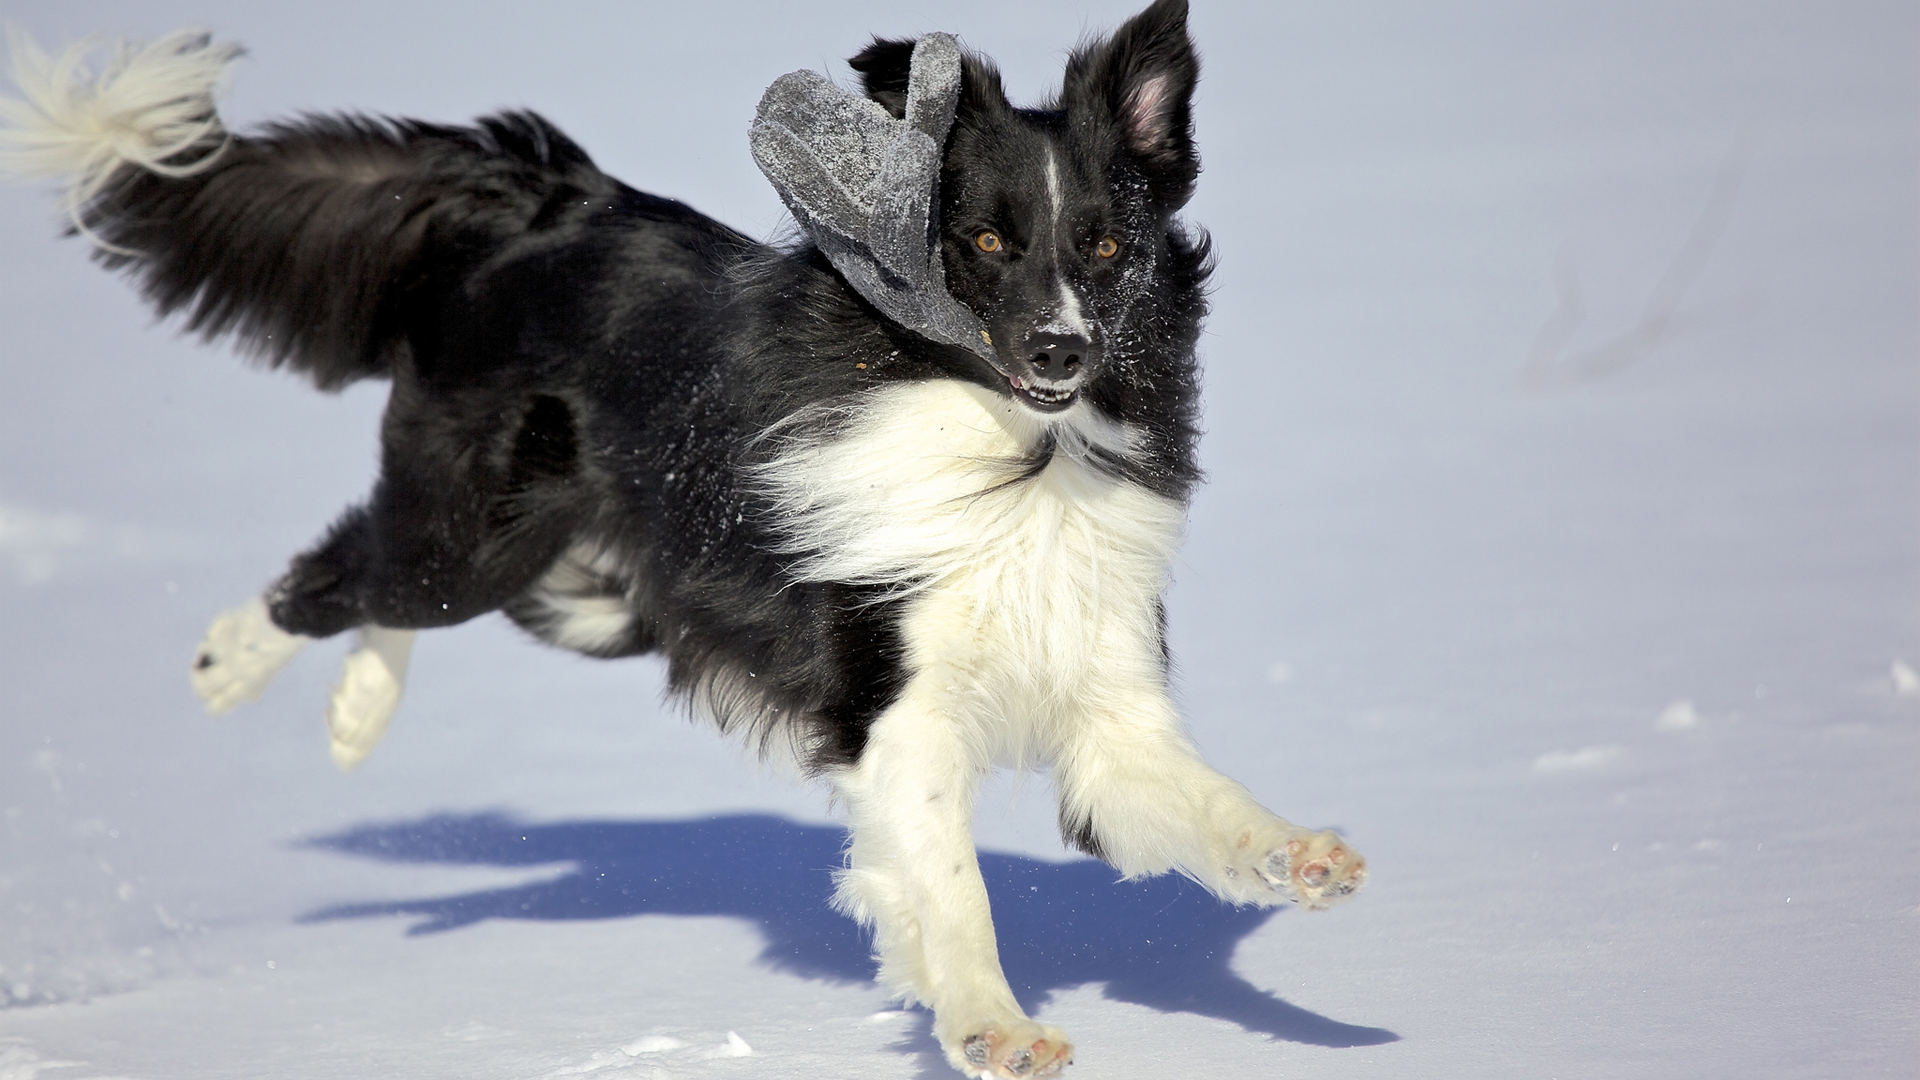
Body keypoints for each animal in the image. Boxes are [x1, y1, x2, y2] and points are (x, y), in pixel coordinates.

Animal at [7, 4, 1374, 1068]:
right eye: (983, 241)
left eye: (1105, 242)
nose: (1060, 351)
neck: (1015, 456)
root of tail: (551, 200)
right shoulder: (895, 710)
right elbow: (954, 889)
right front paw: (996, 1029)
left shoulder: (1106, 710)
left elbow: (1213, 809)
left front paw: (1312, 868)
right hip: (482, 532)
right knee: (344, 572)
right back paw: (232, 667)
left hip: (601, 585)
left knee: (397, 593)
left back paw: (352, 714)